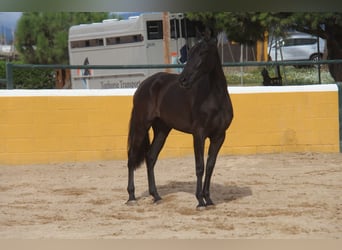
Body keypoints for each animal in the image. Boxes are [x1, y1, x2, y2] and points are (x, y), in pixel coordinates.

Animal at [127, 33, 234, 209]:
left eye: (203, 53)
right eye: (189, 54)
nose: (183, 80)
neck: (214, 99)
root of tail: (144, 85)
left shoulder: (219, 136)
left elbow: (210, 166)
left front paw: (209, 199)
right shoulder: (199, 135)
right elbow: (200, 166)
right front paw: (200, 201)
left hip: (162, 130)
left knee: (150, 157)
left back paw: (156, 196)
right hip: (142, 125)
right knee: (131, 157)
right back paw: (131, 196)